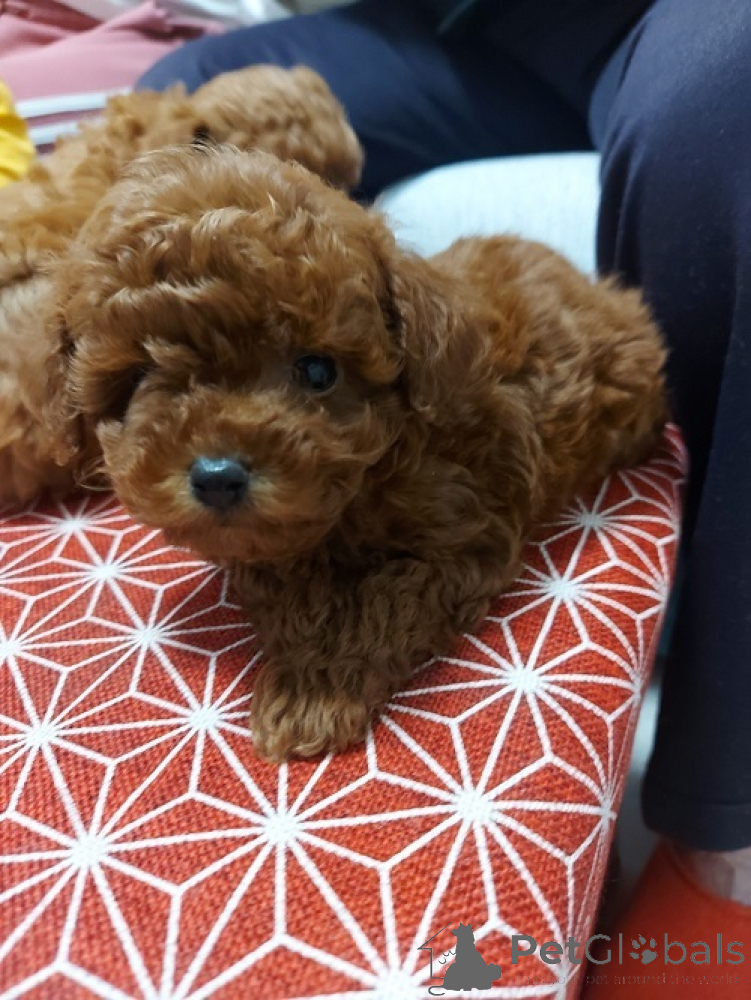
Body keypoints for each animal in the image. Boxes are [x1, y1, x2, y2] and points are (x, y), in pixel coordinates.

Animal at [0, 145, 667, 761]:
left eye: (318, 371)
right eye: (136, 378)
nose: (217, 477)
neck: (365, 481)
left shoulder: (464, 531)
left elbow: (383, 603)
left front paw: (312, 697)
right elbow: (294, 591)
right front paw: (304, 660)